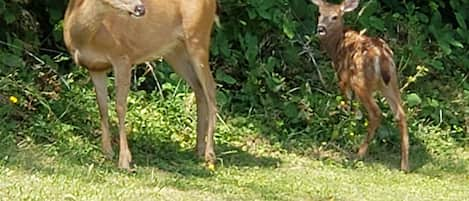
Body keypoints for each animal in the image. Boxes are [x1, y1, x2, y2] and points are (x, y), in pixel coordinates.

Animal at [63, 0, 218, 170]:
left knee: (211, 91)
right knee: (199, 89)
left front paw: (124, 160)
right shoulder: (96, 68)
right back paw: (199, 149)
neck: (86, 37)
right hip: (174, 51)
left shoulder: (122, 57)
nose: (141, 8)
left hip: (198, 38)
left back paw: (210, 155)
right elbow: (102, 107)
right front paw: (107, 152)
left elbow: (120, 107)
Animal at [310, 0, 410, 171]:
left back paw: (359, 153)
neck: (336, 45)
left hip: (361, 81)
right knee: (400, 114)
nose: (320, 28)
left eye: (335, 16)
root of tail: (382, 58)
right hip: (391, 82)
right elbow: (356, 110)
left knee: (376, 113)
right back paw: (404, 165)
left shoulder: (343, 77)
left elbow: (349, 105)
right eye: (320, 13)